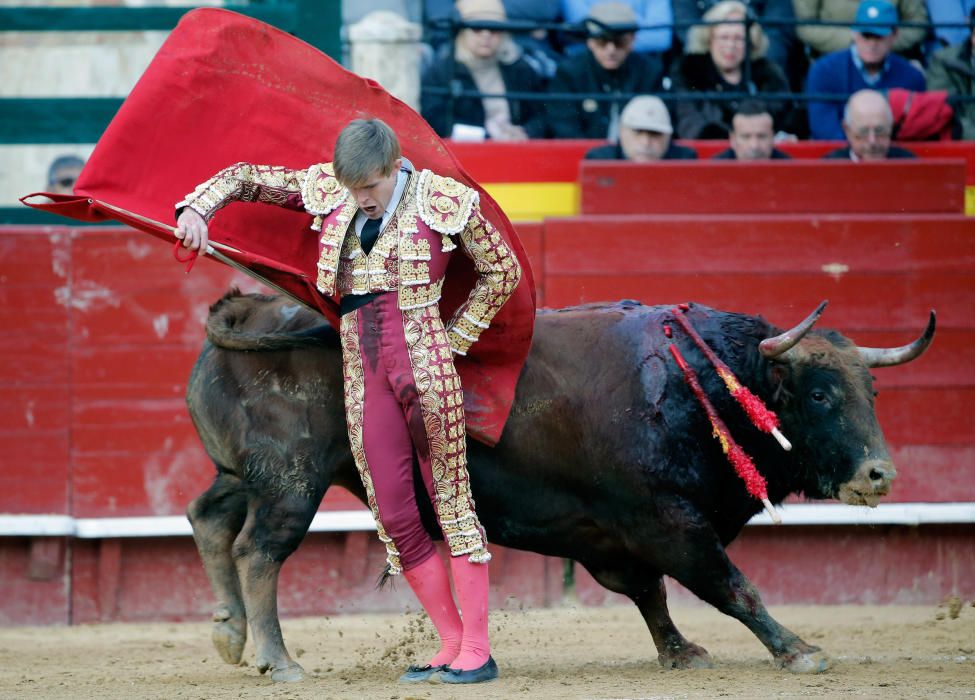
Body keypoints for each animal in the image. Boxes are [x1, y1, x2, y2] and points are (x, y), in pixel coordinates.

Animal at [185, 292, 936, 680]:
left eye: (870, 390)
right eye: (818, 394)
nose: (879, 473)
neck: (701, 385)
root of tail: (252, 310)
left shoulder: (612, 535)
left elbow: (650, 594)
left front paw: (678, 652)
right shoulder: (666, 521)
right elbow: (729, 585)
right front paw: (797, 649)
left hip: (244, 474)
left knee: (209, 519)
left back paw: (229, 635)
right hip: (292, 480)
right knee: (259, 551)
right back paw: (277, 659)